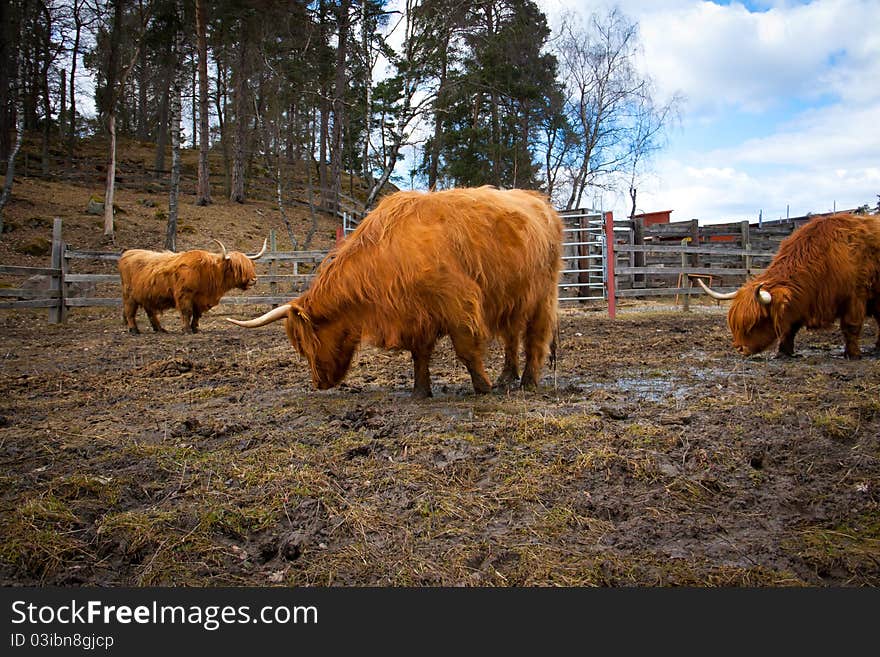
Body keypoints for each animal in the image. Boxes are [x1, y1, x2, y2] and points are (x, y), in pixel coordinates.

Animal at [118, 237, 266, 334]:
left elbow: (197, 314)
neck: (208, 272)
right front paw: (187, 330)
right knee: (130, 311)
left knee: (150, 311)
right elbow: (187, 312)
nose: (253, 279)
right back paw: (134, 330)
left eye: (250, 265)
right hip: (129, 295)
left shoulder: (200, 299)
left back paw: (160, 329)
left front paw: (196, 328)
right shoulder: (184, 295)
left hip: (147, 295)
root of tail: (127, 253)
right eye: (238, 267)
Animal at [227, 187, 564, 398]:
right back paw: (508, 377)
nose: (319, 383)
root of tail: (539, 201)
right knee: (511, 336)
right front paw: (420, 391)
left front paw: (483, 388)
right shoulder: (418, 314)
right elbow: (419, 354)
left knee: (536, 337)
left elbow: (466, 349)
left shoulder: (458, 303)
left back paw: (528, 382)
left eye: (305, 345)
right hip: (512, 298)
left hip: (543, 293)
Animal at [696, 213, 880, 358]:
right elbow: (789, 327)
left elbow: (851, 326)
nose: (740, 348)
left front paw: (853, 354)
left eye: (756, 323)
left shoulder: (856, 296)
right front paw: (784, 352)